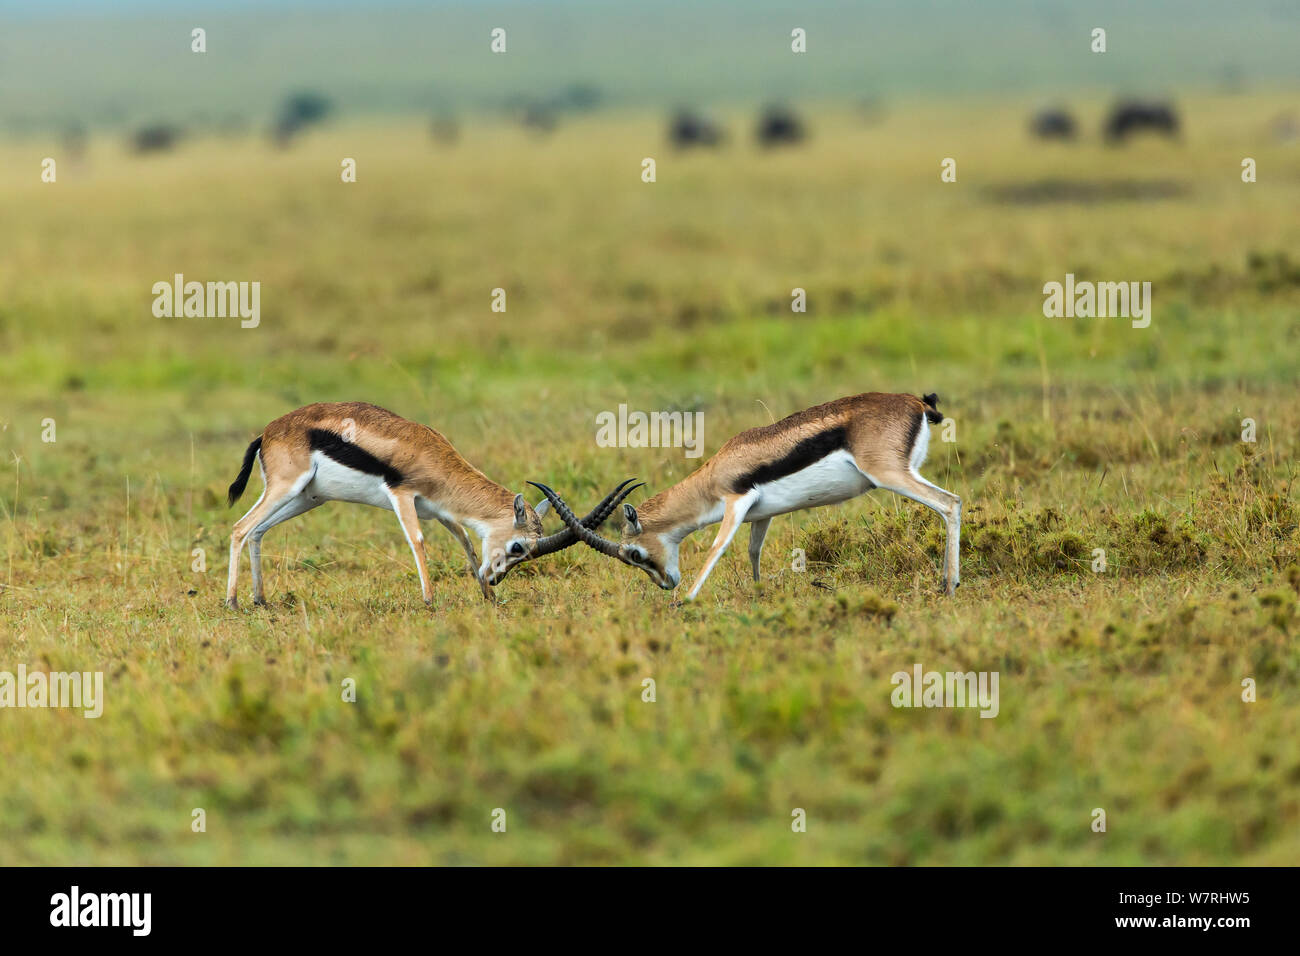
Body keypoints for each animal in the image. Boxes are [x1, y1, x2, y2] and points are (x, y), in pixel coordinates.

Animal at [224, 402, 638, 609]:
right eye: (518, 547)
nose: (495, 579)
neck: (432, 455)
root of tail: (269, 431)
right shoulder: (402, 496)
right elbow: (418, 542)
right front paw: (429, 600)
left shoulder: (440, 510)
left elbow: (468, 544)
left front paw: (487, 597)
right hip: (286, 489)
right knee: (240, 528)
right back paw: (232, 602)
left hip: (306, 498)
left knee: (257, 532)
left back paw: (260, 600)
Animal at [531, 392, 960, 600]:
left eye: (635, 555)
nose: (667, 584)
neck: (713, 474)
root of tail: (917, 402)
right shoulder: (762, 514)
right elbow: (754, 551)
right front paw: (758, 592)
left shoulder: (735, 503)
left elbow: (716, 548)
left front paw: (685, 601)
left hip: (890, 475)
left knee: (950, 504)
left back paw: (949, 586)